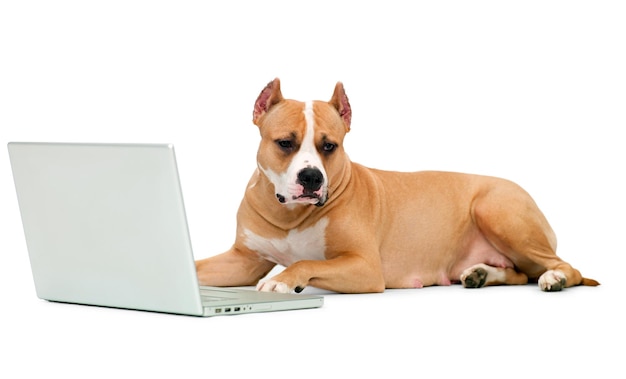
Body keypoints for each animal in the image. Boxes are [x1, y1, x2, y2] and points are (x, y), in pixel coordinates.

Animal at [194, 78, 596, 294]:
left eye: (329, 146)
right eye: (284, 143)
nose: (311, 178)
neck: (290, 215)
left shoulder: (365, 267)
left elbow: (305, 261)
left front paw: (282, 281)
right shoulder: (243, 261)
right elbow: (200, 267)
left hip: (498, 211)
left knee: (562, 266)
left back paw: (556, 277)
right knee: (518, 274)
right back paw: (481, 273)